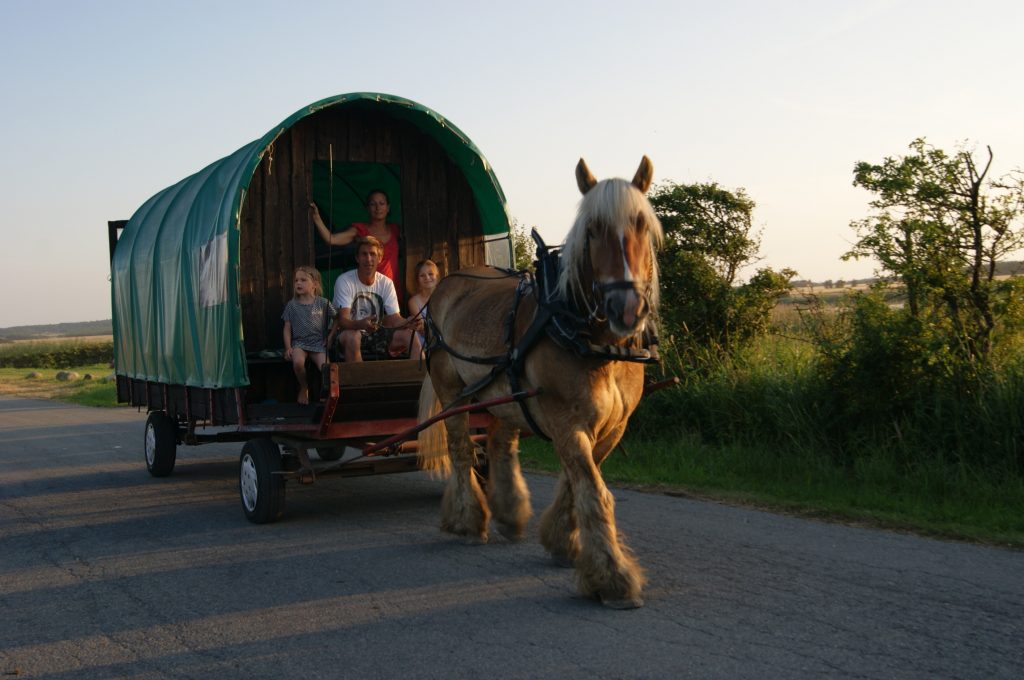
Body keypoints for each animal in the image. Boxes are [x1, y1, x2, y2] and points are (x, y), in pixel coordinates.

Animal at [417, 156, 663, 606]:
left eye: (641, 224)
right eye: (592, 230)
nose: (626, 307)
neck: (593, 341)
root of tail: (447, 282)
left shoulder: (612, 427)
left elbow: (576, 483)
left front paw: (563, 542)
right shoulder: (566, 420)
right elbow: (593, 491)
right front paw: (613, 577)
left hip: (500, 394)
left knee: (500, 444)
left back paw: (508, 513)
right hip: (451, 389)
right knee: (461, 450)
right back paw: (468, 520)